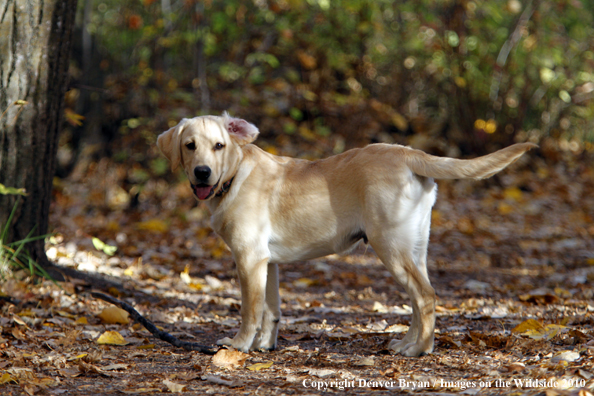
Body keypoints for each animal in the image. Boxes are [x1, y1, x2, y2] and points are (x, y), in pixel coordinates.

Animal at [156, 111, 532, 356]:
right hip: (413, 248)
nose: (202, 173)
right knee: (418, 300)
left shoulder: (249, 258)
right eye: (190, 145)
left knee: (425, 297)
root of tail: (409, 153)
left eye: (219, 146)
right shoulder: (267, 262)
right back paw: (407, 343)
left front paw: (239, 345)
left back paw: (419, 350)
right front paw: (264, 345)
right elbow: (271, 309)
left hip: (390, 246)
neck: (235, 175)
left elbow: (250, 309)